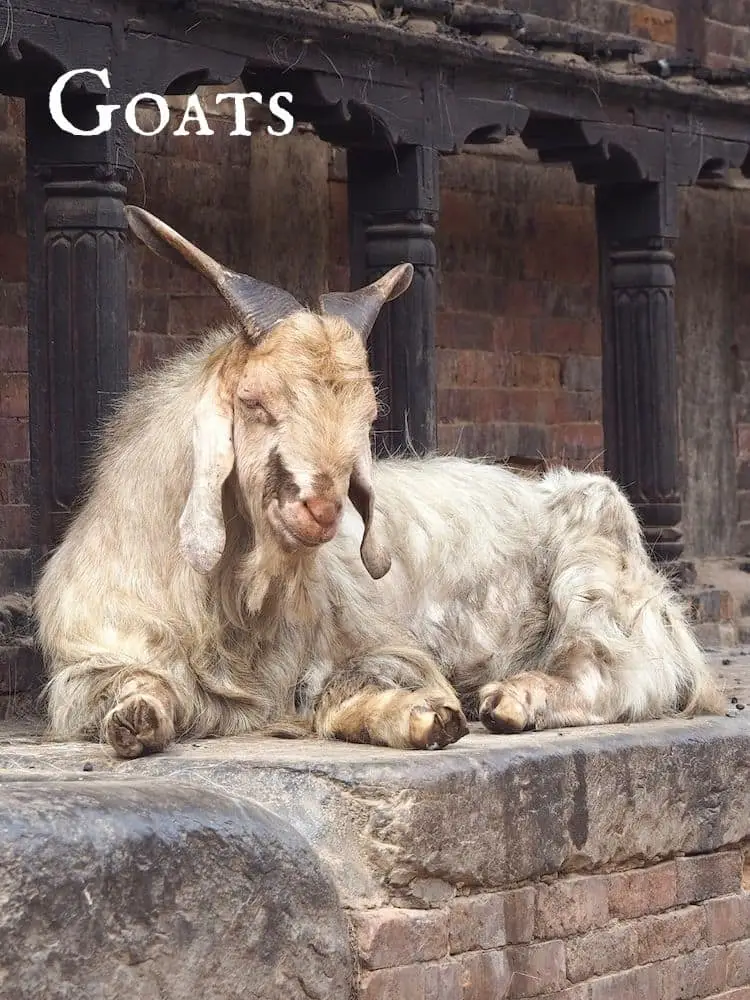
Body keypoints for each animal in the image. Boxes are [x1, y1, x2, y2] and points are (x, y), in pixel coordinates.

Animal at [35, 207, 723, 758]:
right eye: (255, 401)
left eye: (368, 414)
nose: (321, 508)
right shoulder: (86, 665)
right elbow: (135, 687)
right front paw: (136, 719)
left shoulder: (380, 648)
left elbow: (343, 689)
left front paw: (427, 716)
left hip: (598, 569)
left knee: (624, 671)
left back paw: (513, 699)